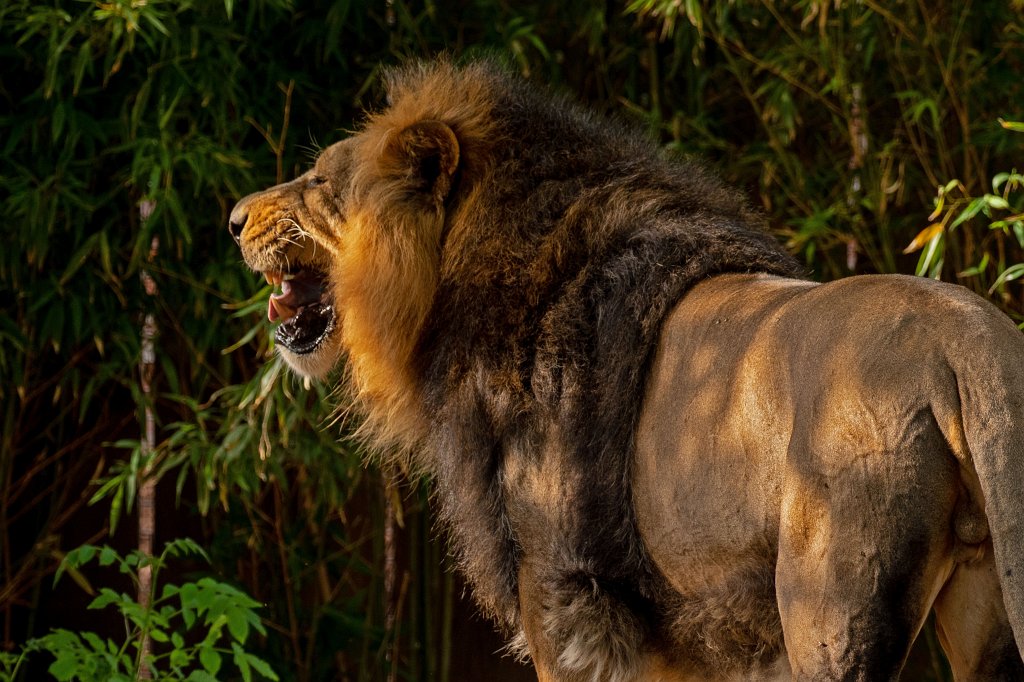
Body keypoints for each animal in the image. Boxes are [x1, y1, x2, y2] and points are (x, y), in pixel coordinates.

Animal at [229, 59, 1024, 680]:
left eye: (318, 182)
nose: (232, 219)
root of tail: (969, 335)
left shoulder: (559, 593)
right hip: (986, 611)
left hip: (827, 608)